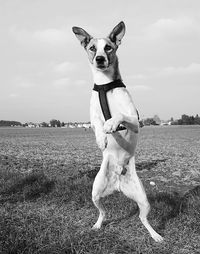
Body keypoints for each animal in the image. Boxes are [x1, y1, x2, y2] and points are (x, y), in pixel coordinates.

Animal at [72, 21, 163, 242]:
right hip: (95, 192)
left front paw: (111, 125)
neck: (105, 85)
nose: (100, 59)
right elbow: (97, 124)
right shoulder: (93, 117)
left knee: (143, 219)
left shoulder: (135, 120)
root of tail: (119, 182)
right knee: (103, 212)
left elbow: (119, 116)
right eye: (92, 48)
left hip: (144, 200)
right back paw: (97, 225)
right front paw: (101, 139)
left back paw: (155, 235)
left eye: (108, 47)